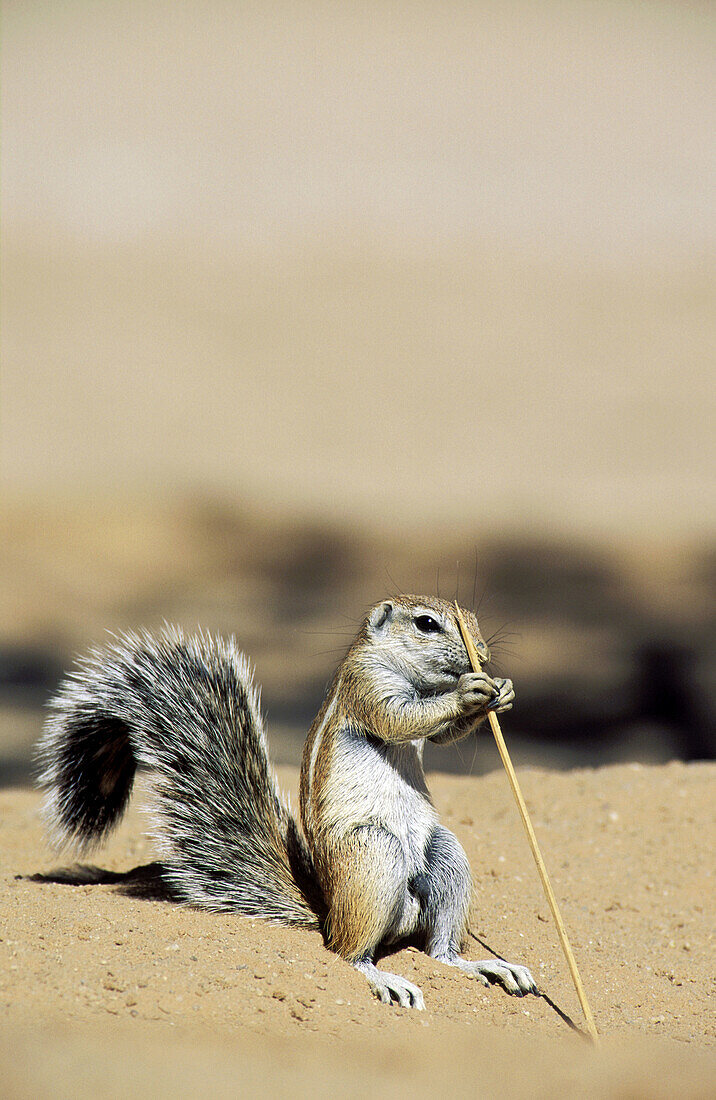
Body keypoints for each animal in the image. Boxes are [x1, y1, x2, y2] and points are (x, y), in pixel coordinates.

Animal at [36, 598, 534, 1007]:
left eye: (472, 619)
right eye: (426, 624)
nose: (482, 652)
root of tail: (328, 909)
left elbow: (441, 733)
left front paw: (502, 691)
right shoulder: (368, 687)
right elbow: (403, 717)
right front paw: (469, 692)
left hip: (445, 856)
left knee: (440, 953)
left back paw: (489, 966)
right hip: (374, 856)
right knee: (347, 951)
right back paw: (383, 977)